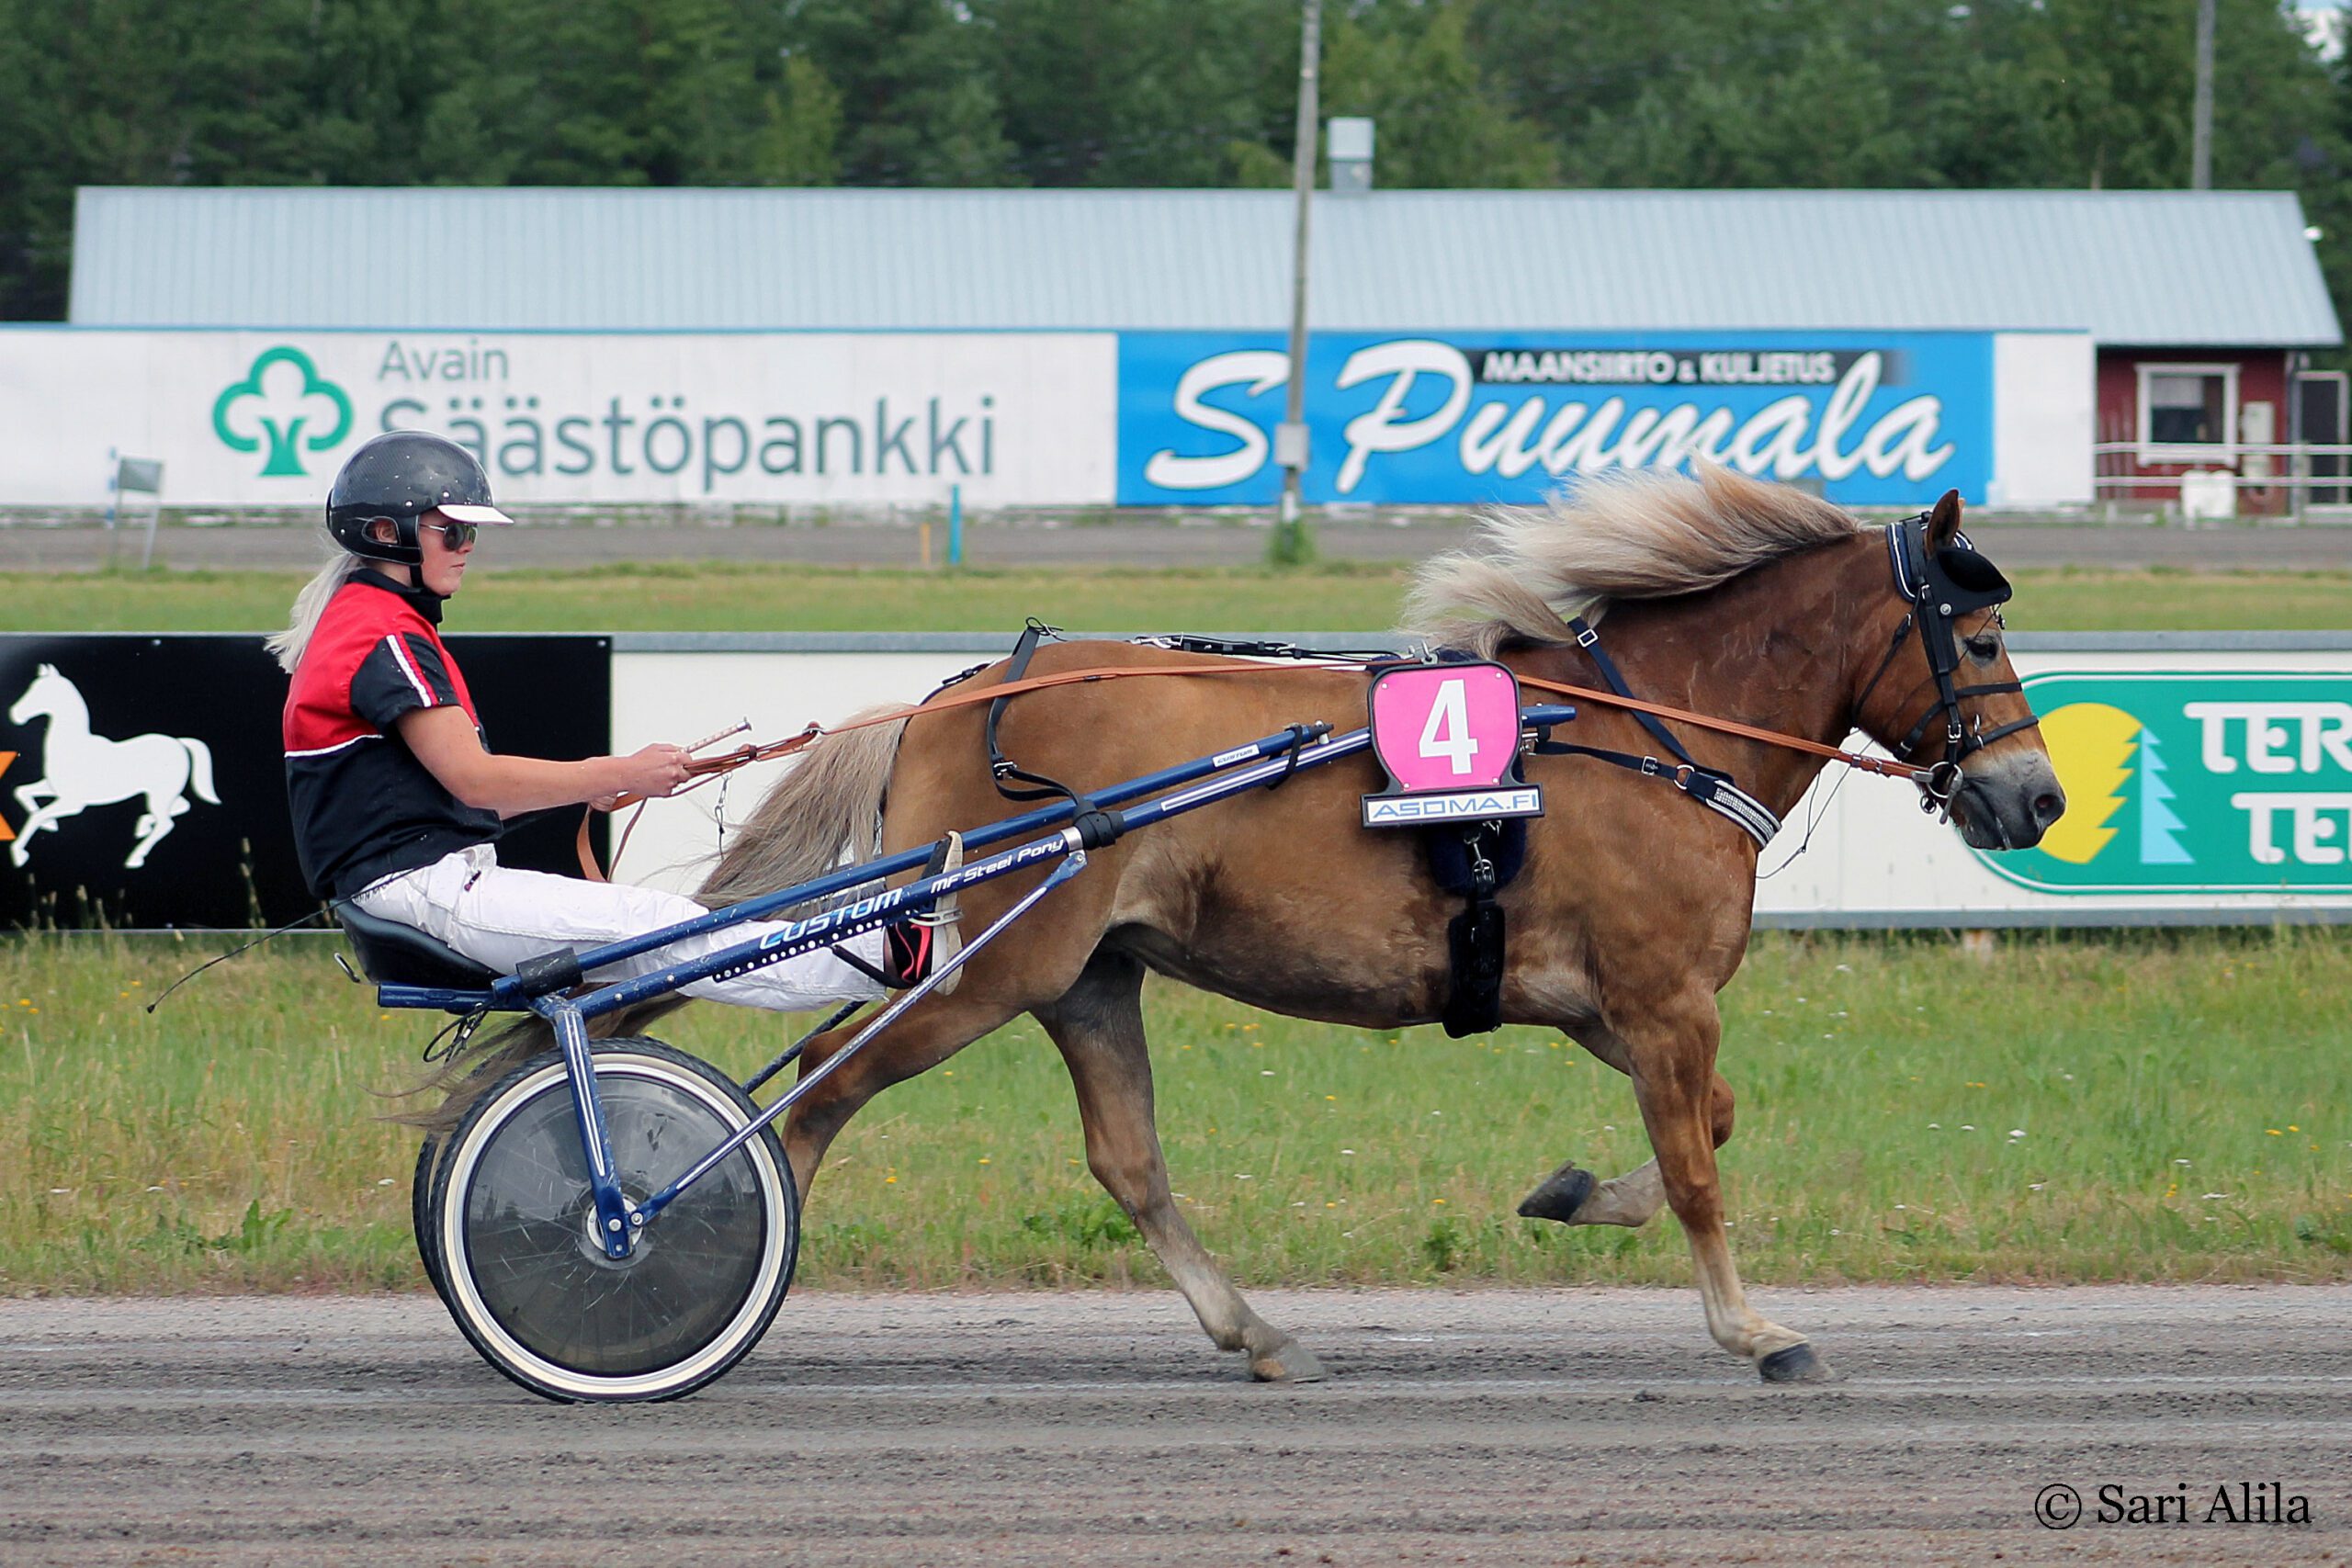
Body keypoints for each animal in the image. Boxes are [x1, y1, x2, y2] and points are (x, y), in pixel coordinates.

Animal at [8, 664, 219, 870]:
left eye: (42, 691)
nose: (15, 714)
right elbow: (22, 792)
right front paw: (51, 824)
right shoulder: (53, 788)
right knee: (181, 806)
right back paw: (142, 827)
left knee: (166, 823)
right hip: (161, 795)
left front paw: (19, 853)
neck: (74, 748)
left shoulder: (73, 802)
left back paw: (135, 857)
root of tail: (180, 743)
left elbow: (36, 816)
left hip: (160, 796)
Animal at [445, 467, 2063, 1386]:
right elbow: (1699, 1169)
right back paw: (668, 1259)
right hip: (990, 967)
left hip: (1085, 976)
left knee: (1126, 1159)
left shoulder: (1613, 1004)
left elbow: (1703, 1131)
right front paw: (1755, 1329)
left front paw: (1567, 1191)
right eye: (1983, 635)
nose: (2035, 794)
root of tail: (963, 689)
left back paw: (1254, 1329)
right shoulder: (1664, 996)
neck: (1640, 730)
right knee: (808, 1110)